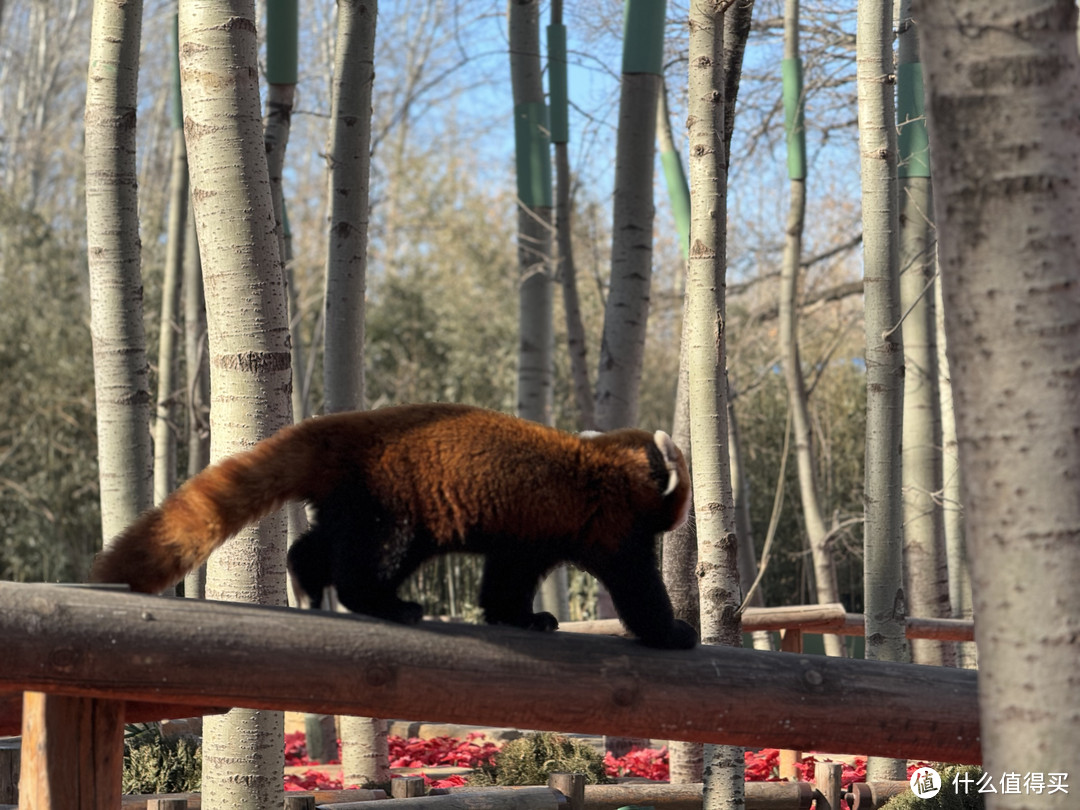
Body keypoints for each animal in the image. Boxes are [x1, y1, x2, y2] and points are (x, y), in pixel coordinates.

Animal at [92, 403, 699, 652]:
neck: (609, 462)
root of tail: (342, 428)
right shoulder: (611, 523)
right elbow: (637, 590)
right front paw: (674, 633)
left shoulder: (532, 532)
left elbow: (506, 580)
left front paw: (523, 618)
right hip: (399, 501)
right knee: (375, 558)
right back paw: (388, 604)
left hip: (354, 498)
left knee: (320, 543)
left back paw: (306, 581)